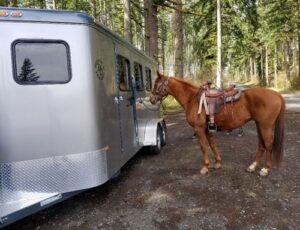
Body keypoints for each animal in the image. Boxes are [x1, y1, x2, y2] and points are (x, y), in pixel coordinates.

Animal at [150, 72, 286, 176]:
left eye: (156, 84)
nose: (151, 99)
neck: (193, 99)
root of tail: (277, 94)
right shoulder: (207, 129)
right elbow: (212, 145)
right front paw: (217, 163)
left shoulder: (199, 129)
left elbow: (204, 147)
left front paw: (205, 167)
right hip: (259, 124)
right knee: (261, 144)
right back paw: (253, 166)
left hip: (265, 126)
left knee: (268, 144)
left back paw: (265, 169)